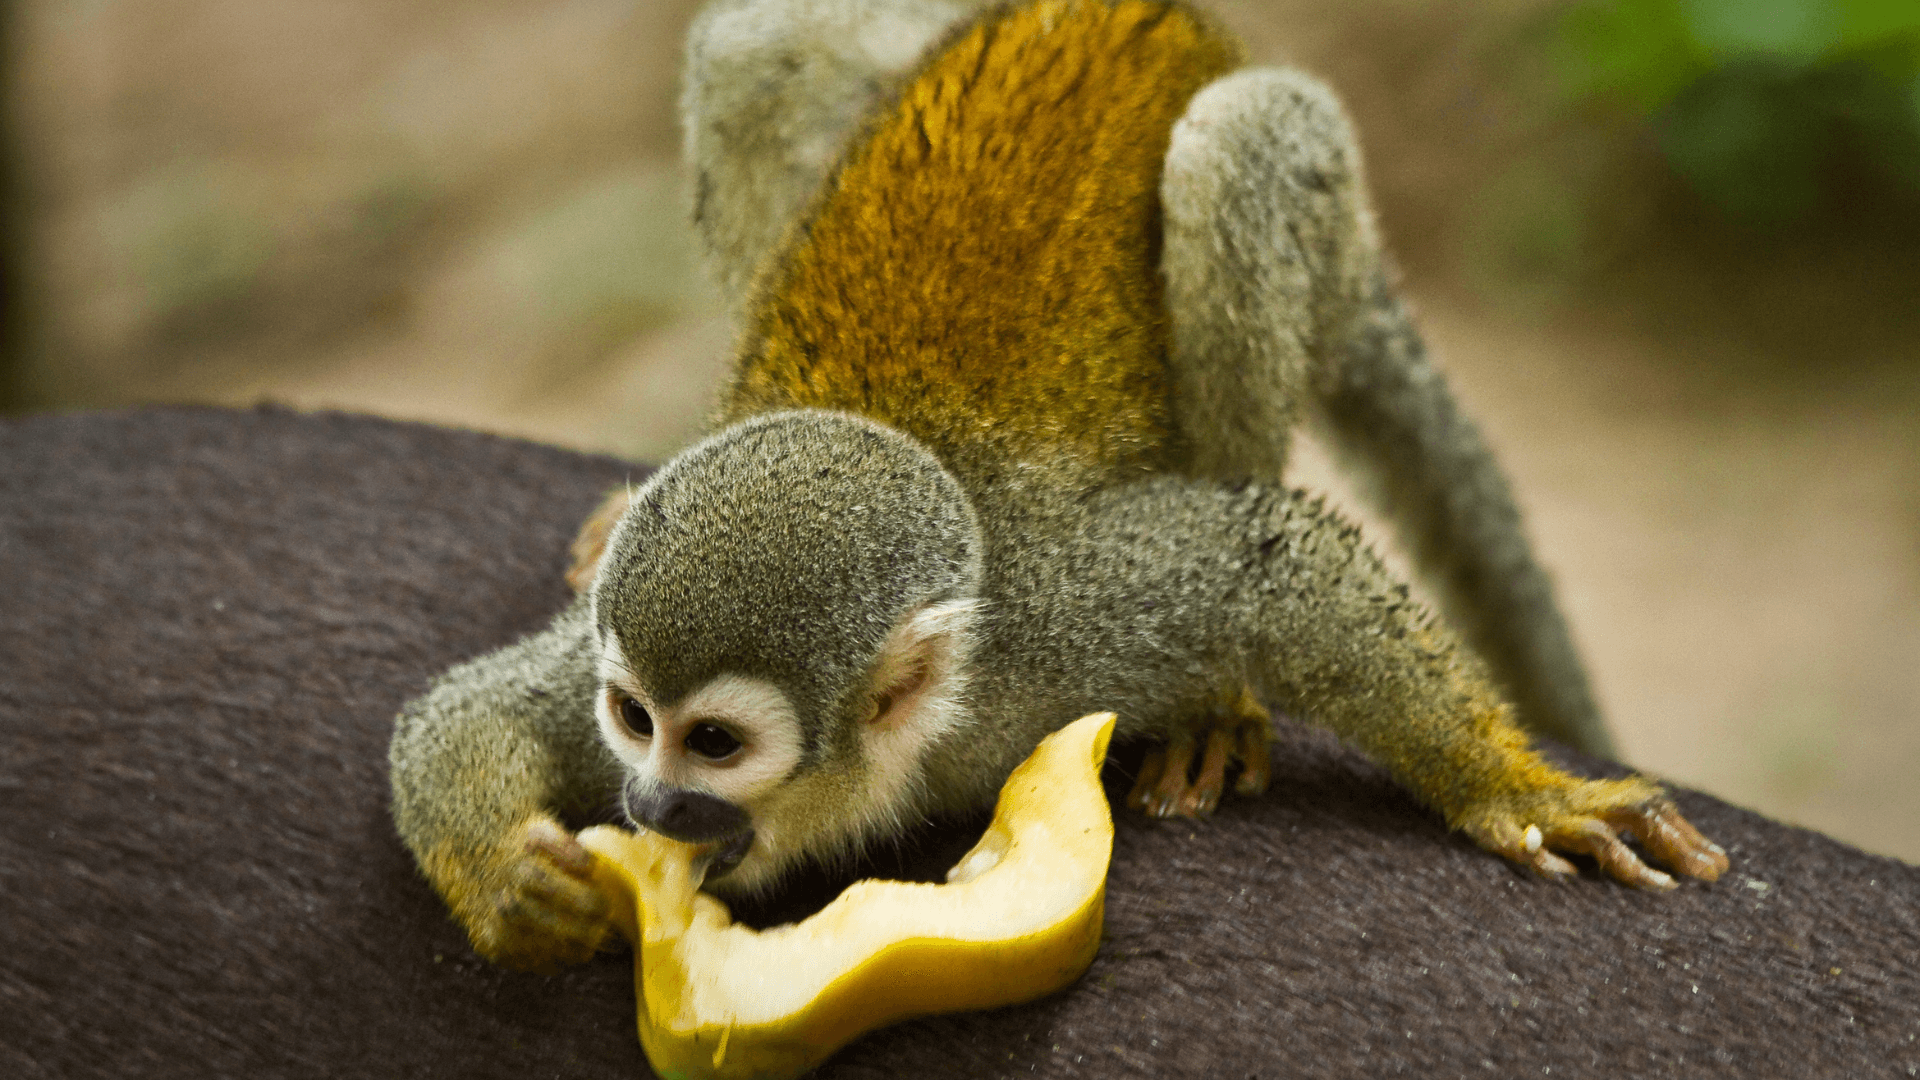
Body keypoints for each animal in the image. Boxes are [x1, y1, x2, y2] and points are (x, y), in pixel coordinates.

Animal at [385, 0, 1728, 972]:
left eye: (714, 744)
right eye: (631, 719)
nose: (654, 805)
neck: (913, 746)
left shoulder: (1068, 630)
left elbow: (1275, 566)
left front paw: (1522, 791)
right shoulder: (606, 651)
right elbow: (465, 710)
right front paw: (503, 875)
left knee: (1238, 155)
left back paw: (1220, 708)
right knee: (754, 49)